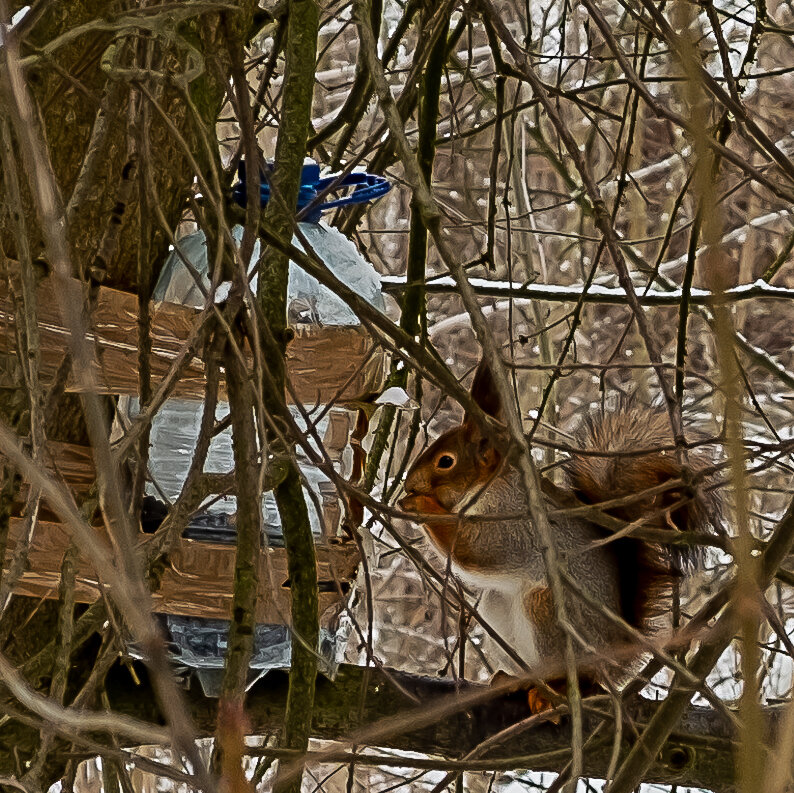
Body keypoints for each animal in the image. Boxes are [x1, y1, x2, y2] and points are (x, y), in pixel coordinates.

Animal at [400, 356, 720, 708]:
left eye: (446, 462)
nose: (409, 483)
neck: (489, 483)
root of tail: (606, 665)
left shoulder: (514, 517)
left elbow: (478, 549)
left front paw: (420, 504)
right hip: (497, 607)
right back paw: (513, 680)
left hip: (549, 609)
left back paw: (551, 690)